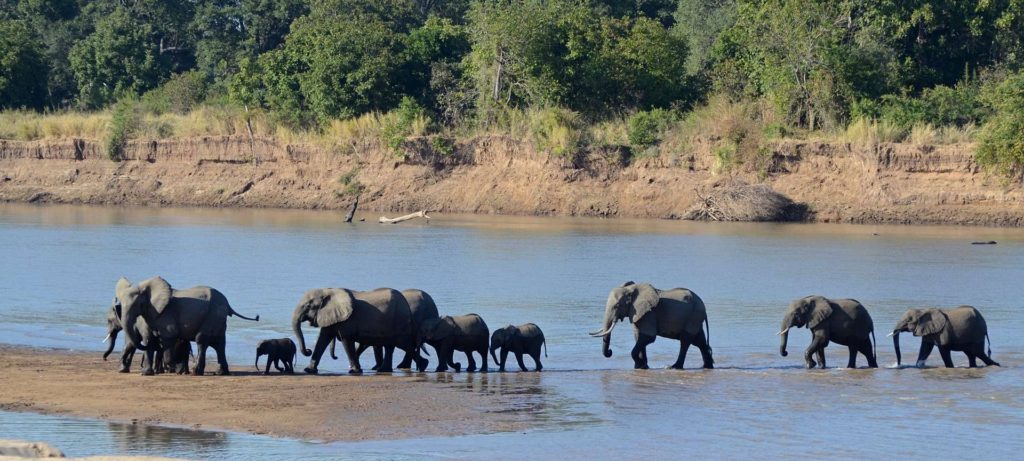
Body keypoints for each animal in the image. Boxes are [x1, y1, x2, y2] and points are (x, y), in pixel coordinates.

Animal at [114, 274, 260, 376]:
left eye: (137, 304)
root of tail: (228, 304)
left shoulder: (166, 315)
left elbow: (169, 336)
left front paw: (171, 368)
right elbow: (149, 339)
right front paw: (146, 373)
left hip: (213, 315)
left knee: (201, 340)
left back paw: (196, 372)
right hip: (219, 319)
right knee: (219, 344)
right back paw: (220, 373)